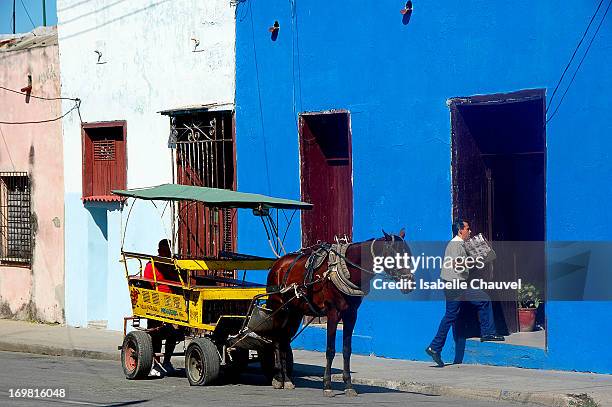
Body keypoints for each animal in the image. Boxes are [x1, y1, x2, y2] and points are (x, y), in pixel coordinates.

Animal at [266, 231, 414, 396]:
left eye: (408, 254)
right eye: (395, 255)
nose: (410, 282)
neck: (346, 269)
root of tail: (278, 264)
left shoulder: (351, 314)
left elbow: (347, 350)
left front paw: (348, 385)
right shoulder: (332, 312)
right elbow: (330, 350)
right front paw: (327, 385)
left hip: (294, 313)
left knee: (284, 340)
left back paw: (287, 379)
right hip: (278, 308)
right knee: (276, 339)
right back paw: (279, 378)